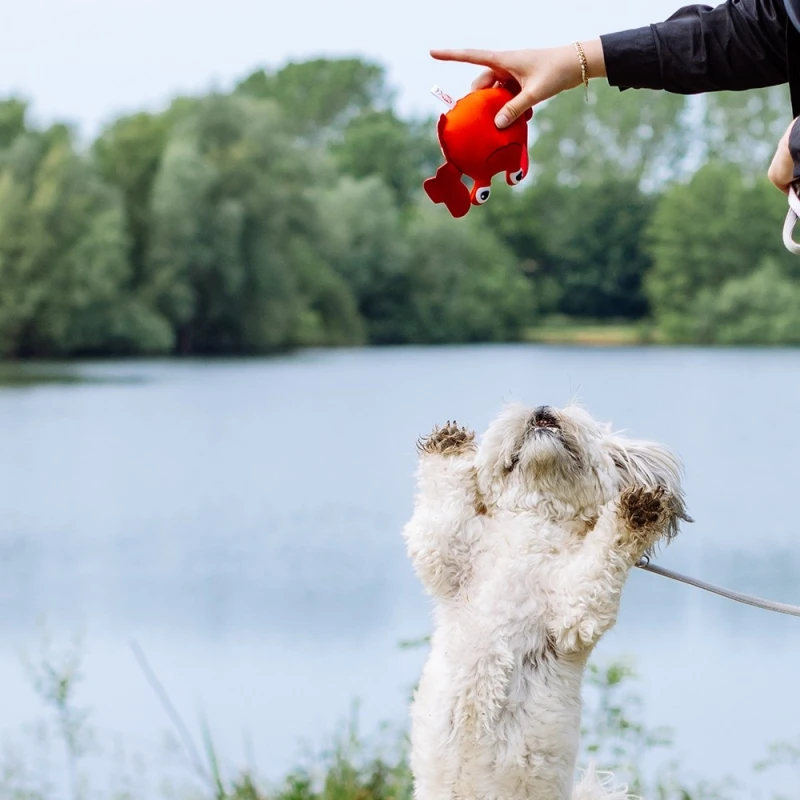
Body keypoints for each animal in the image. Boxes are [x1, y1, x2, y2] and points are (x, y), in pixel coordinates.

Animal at [404, 404, 692, 800]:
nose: (543, 411)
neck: (533, 525)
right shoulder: (448, 556)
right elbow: (439, 517)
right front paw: (449, 443)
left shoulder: (577, 605)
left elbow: (603, 556)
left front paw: (638, 511)